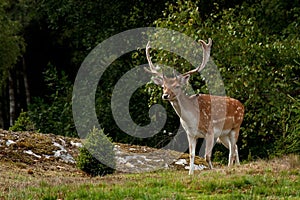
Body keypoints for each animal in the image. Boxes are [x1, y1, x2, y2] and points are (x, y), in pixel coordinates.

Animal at [144, 38, 245, 175]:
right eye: (163, 86)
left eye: (177, 86)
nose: (165, 95)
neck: (192, 119)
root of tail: (242, 105)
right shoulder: (190, 134)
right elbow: (192, 155)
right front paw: (190, 174)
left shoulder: (210, 131)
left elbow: (207, 156)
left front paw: (212, 170)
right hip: (223, 135)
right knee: (235, 148)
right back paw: (236, 166)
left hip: (236, 127)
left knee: (232, 150)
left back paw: (230, 167)